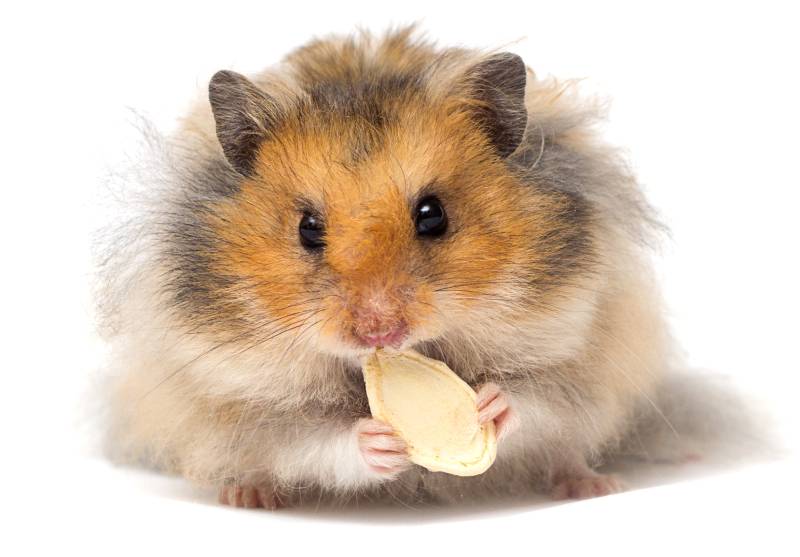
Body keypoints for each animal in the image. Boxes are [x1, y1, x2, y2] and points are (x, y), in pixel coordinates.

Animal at [98, 27, 672, 508]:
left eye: (432, 214)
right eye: (307, 228)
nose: (378, 332)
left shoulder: (580, 344)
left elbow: (538, 398)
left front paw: (488, 405)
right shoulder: (241, 396)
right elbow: (311, 439)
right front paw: (378, 441)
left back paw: (593, 484)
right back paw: (248, 496)